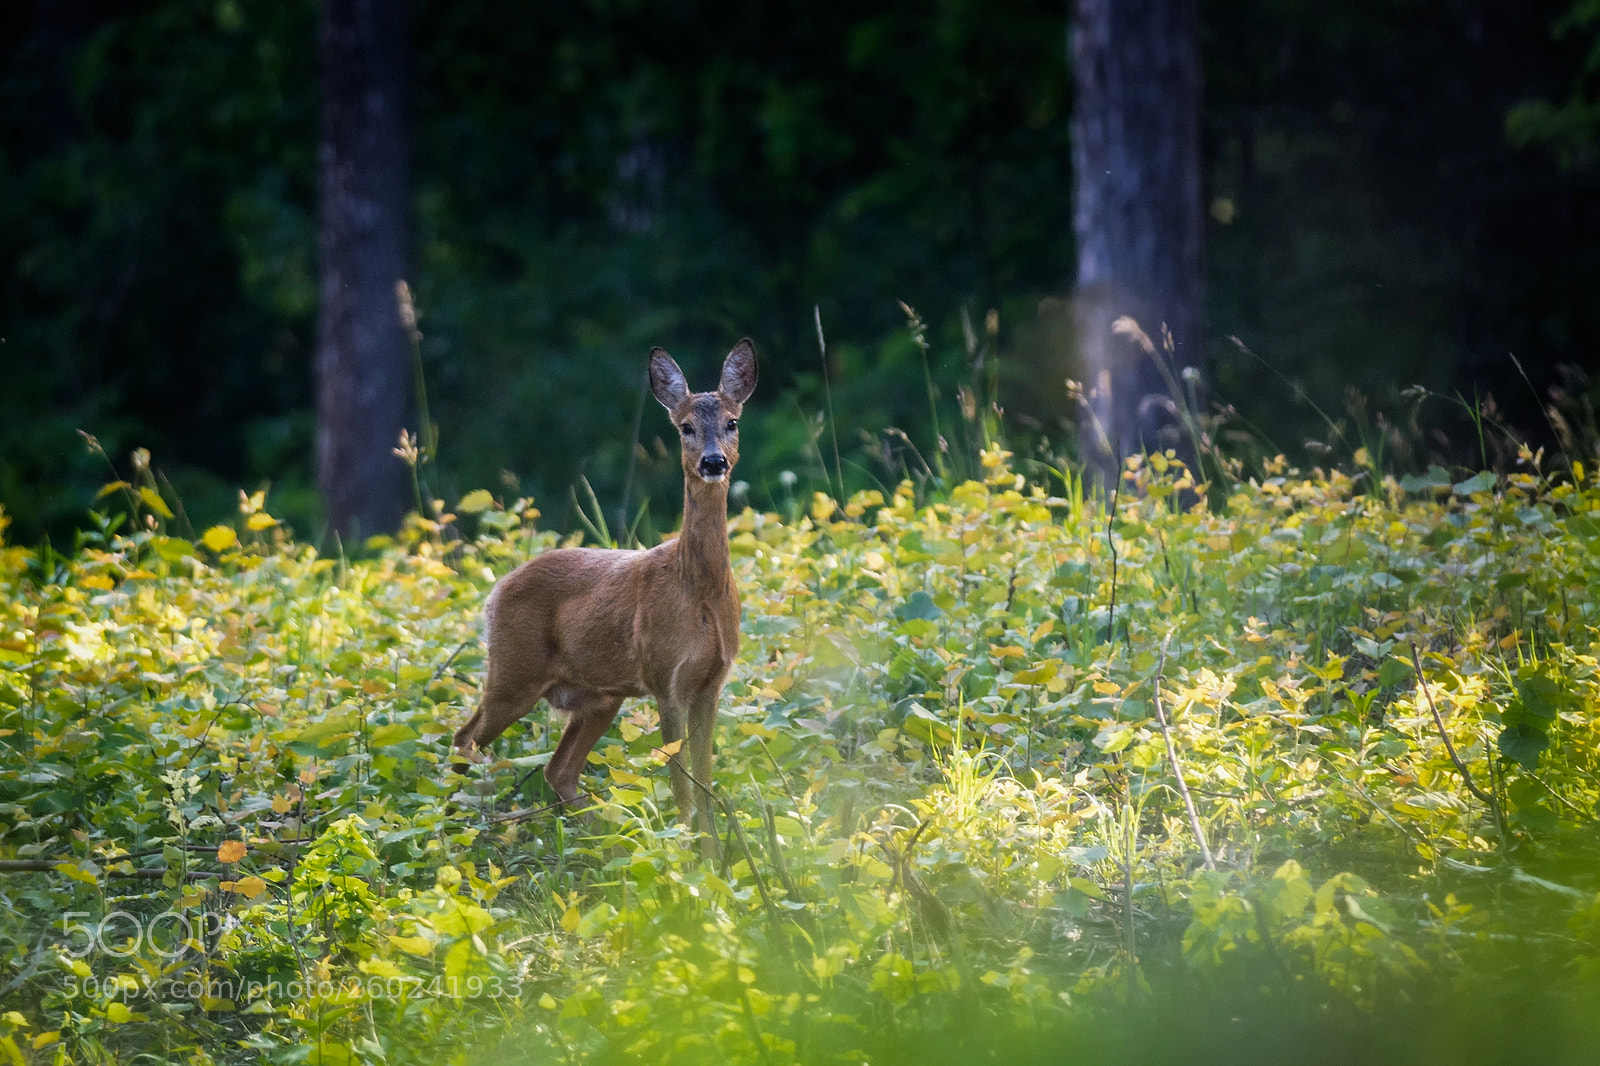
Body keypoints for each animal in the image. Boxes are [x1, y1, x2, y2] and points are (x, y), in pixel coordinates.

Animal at [453, 340, 757, 848]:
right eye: (685, 426)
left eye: (733, 421)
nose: (714, 462)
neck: (700, 591)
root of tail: (495, 590)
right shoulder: (665, 678)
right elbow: (681, 784)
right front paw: (688, 852)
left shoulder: (711, 684)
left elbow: (705, 780)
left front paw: (715, 854)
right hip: (514, 672)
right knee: (465, 738)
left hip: (598, 697)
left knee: (558, 771)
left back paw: (606, 839)